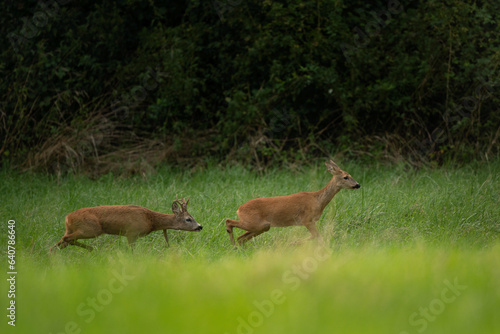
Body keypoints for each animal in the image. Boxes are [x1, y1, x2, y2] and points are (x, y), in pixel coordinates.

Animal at [48, 196, 201, 253]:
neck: (150, 219)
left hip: (70, 229)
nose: (200, 226)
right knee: (67, 239)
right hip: (91, 229)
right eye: (188, 219)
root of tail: (68, 217)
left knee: (60, 242)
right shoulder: (132, 232)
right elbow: (132, 251)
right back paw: (92, 249)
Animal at [226, 160, 360, 247]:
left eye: (350, 175)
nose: (358, 185)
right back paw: (233, 245)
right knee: (229, 221)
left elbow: (315, 236)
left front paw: (292, 243)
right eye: (346, 177)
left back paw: (238, 247)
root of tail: (239, 209)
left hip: (262, 226)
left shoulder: (309, 221)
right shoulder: (307, 219)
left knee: (241, 237)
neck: (317, 200)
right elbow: (317, 236)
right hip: (255, 222)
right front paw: (293, 243)